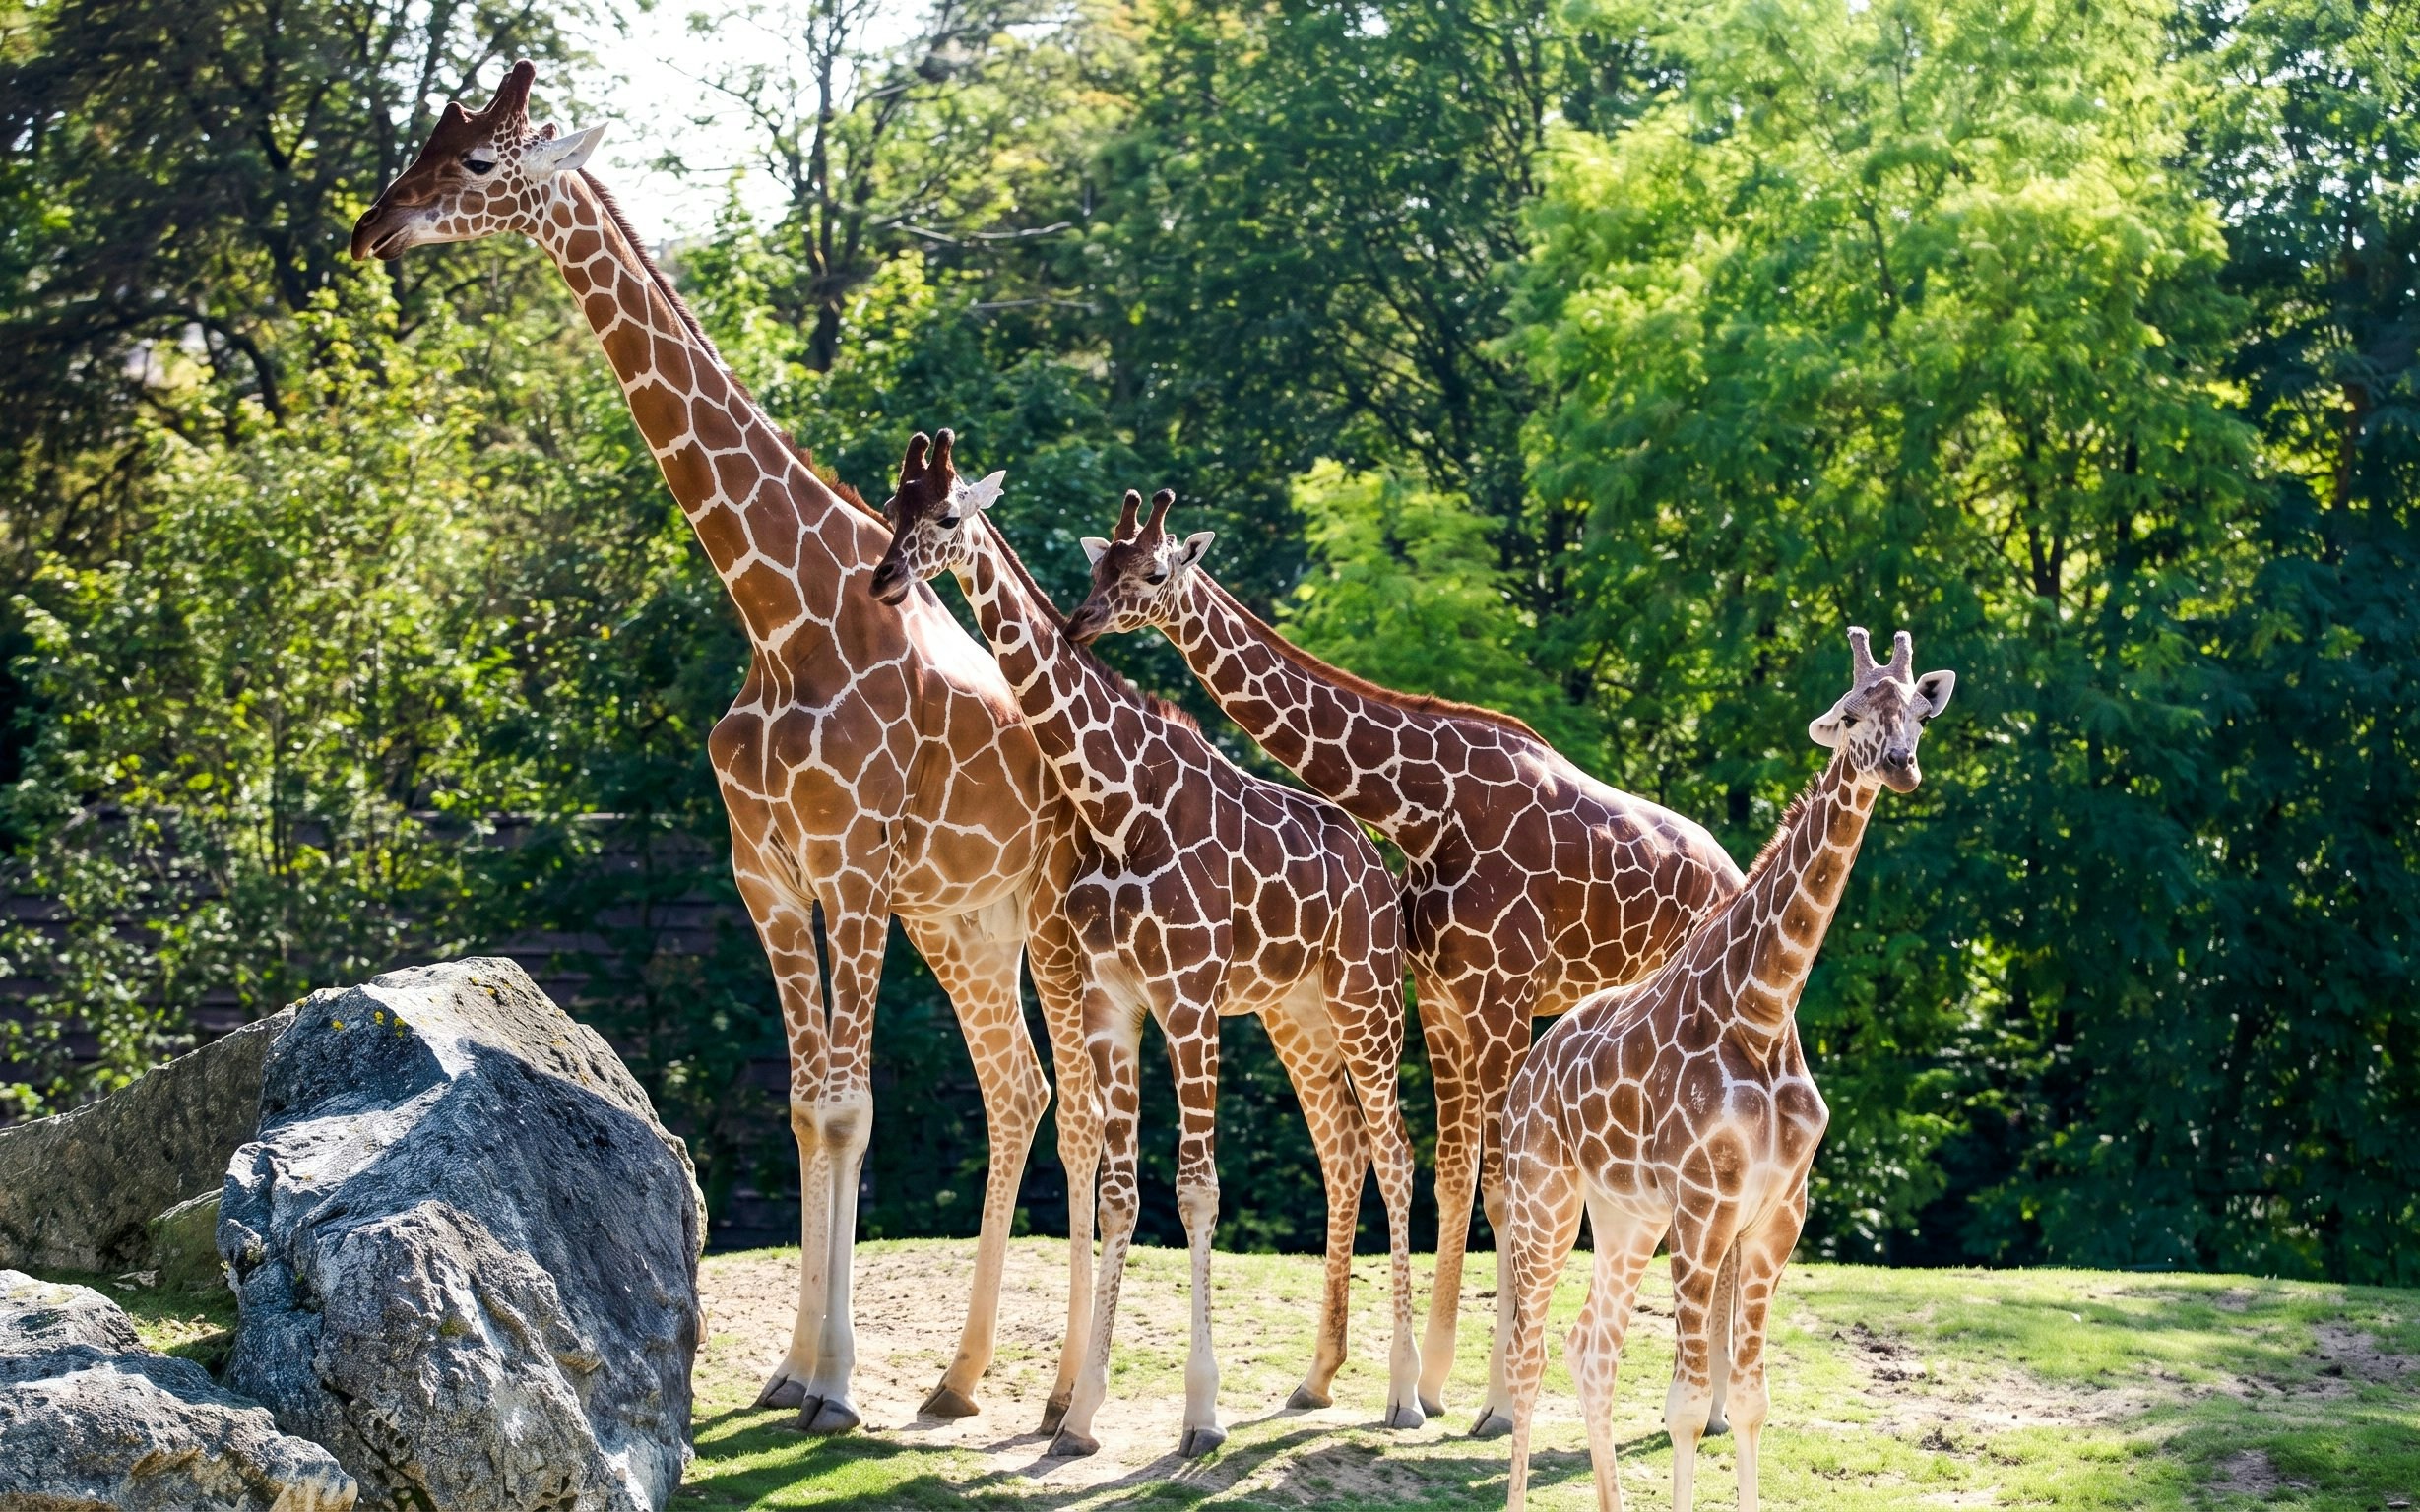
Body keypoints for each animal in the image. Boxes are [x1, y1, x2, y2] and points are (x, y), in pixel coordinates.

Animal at [347, 60, 1104, 1436]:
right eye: (429, 142)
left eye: (478, 164)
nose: (376, 227)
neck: (782, 612)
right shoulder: (769, 874)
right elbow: (806, 1108)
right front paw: (792, 1371)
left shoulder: (851, 869)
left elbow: (852, 1108)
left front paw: (838, 1392)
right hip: (967, 919)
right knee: (1022, 1090)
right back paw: (963, 1381)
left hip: (1056, 920)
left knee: (1082, 1114)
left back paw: (1064, 1398)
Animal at [866, 438, 1427, 1457]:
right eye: (894, 507)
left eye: (948, 517)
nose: (886, 579)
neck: (1123, 806)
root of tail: (1379, 870)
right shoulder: (1112, 1003)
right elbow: (1124, 1191)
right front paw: (1079, 1418)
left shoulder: (1190, 1001)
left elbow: (1198, 1188)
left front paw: (1200, 1415)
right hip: (1297, 1012)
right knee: (1347, 1146)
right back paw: (1320, 1379)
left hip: (1366, 1001)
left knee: (1399, 1151)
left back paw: (1405, 1395)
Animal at [1067, 489, 1745, 1424]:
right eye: (1100, 562)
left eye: (1154, 570)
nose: (1081, 620)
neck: (1427, 810)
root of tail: (1738, 874)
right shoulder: (1444, 999)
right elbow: (1459, 1175)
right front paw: (1433, 1381)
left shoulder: (1502, 1000)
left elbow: (1503, 1185)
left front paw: (1499, 1403)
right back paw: (1709, 1399)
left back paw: (1713, 1405)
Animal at [1496, 628, 1955, 1512]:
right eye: (1851, 715)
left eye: (1918, 713)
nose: (1901, 766)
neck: (1764, 1010)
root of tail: (1535, 1060)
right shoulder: (1703, 1207)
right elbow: (1685, 1405)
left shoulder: (1777, 1214)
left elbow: (1746, 1401)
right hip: (1547, 1196)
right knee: (1529, 1354)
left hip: (1624, 1217)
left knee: (1589, 1347)